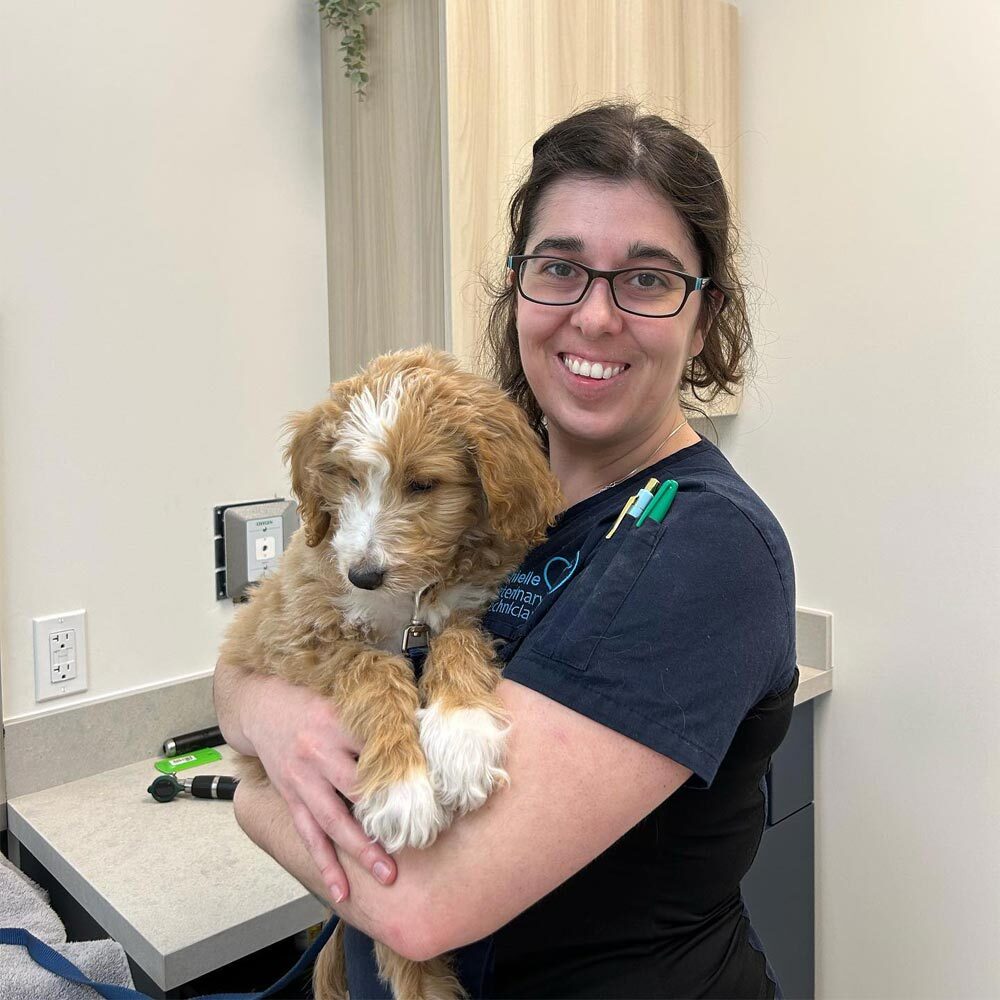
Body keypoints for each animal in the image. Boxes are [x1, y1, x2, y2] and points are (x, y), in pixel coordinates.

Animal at [221, 346, 564, 1000]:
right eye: (349, 478)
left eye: (423, 484)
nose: (363, 574)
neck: (406, 602)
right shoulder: (293, 635)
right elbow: (374, 667)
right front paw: (401, 788)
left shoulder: (466, 609)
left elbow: (456, 642)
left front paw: (461, 734)